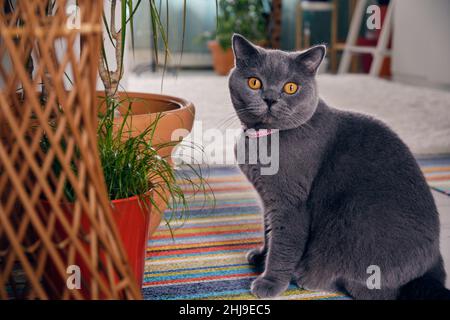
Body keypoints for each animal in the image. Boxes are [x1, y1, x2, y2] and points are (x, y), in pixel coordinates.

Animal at [230, 33, 448, 298]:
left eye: (291, 87)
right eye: (254, 82)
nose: (270, 99)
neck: (261, 140)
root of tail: (433, 265)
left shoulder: (290, 203)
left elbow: (282, 244)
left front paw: (270, 282)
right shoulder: (268, 199)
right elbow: (268, 231)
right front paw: (261, 256)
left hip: (352, 221)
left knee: (370, 289)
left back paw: (306, 278)